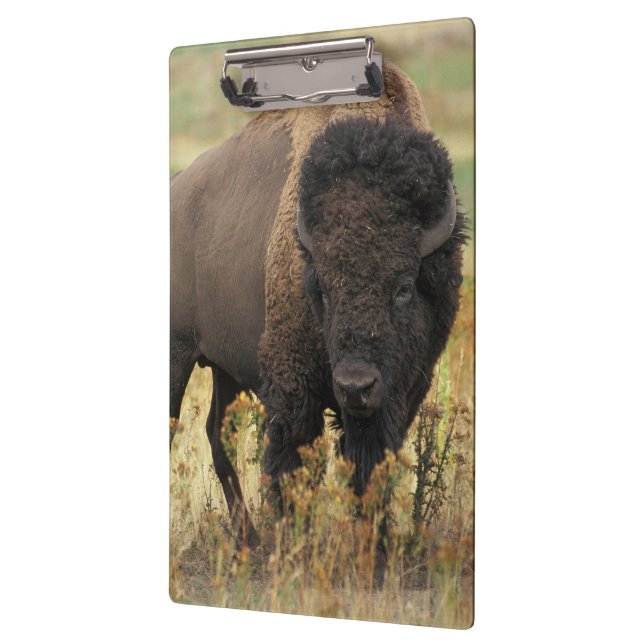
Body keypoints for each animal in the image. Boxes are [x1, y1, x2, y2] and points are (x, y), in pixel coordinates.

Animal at [170, 64, 467, 547]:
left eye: (404, 287)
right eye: (322, 289)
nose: (355, 386)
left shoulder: (400, 395)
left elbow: (369, 472)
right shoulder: (294, 393)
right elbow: (292, 469)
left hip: (223, 368)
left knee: (218, 435)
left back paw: (249, 541)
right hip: (177, 356)